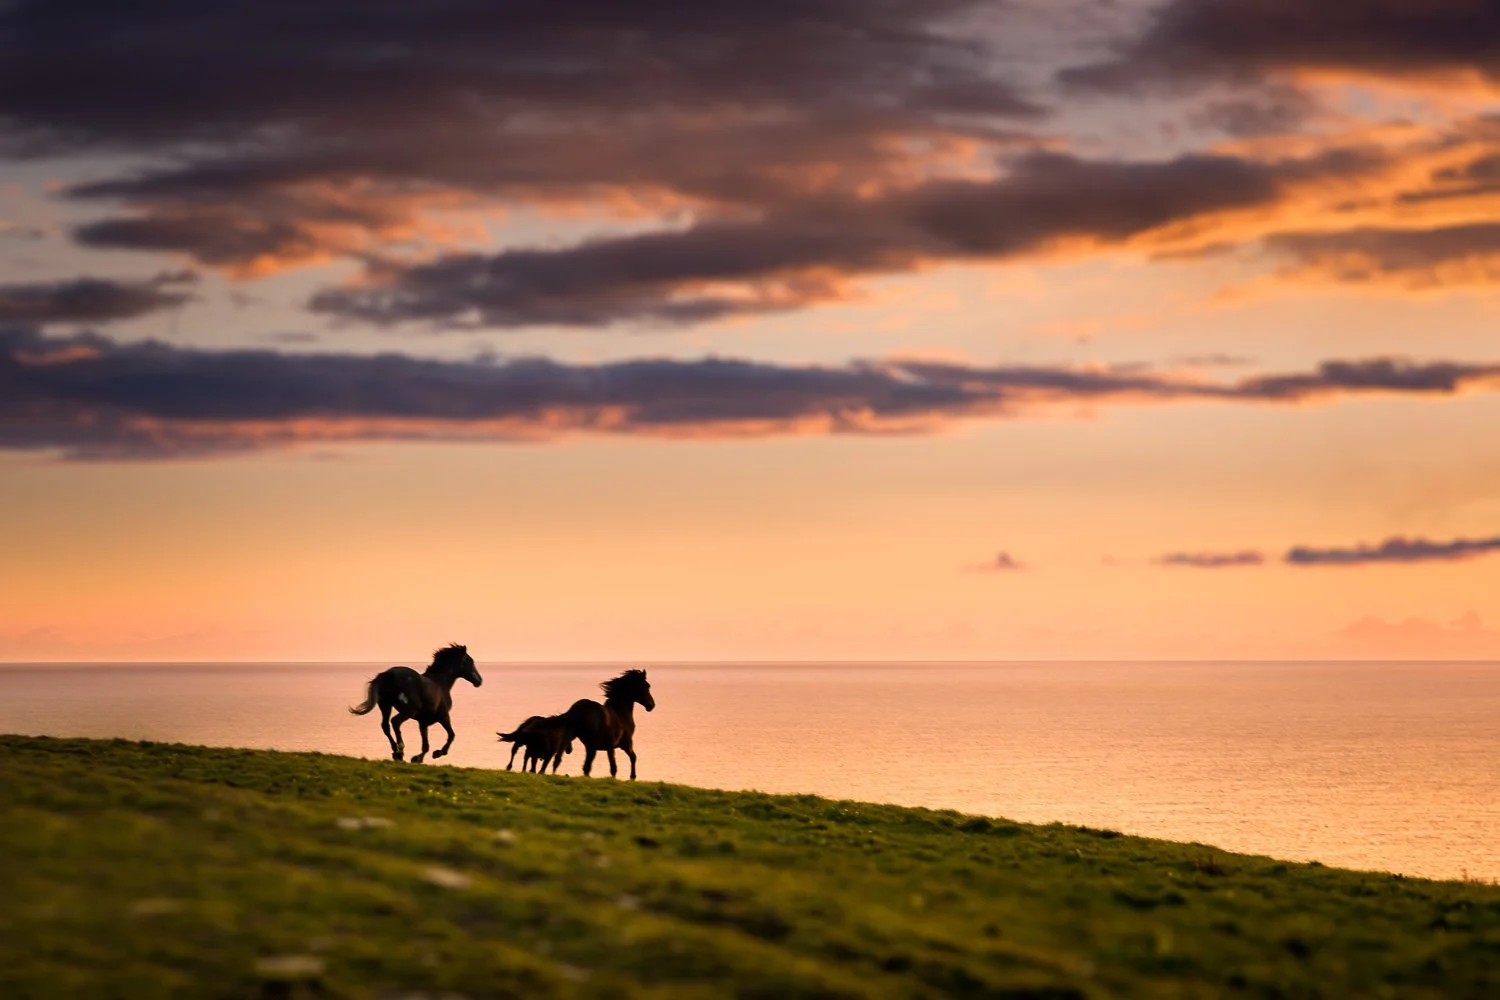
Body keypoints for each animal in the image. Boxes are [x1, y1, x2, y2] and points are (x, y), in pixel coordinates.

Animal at [348, 644, 482, 763]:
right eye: (469, 661)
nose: (479, 681)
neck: (440, 683)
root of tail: (388, 674)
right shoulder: (443, 716)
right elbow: (451, 735)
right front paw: (438, 753)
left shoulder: (423, 722)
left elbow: (426, 745)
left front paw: (417, 758)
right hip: (409, 710)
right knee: (395, 722)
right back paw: (400, 751)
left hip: (386, 706)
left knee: (385, 726)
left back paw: (395, 751)